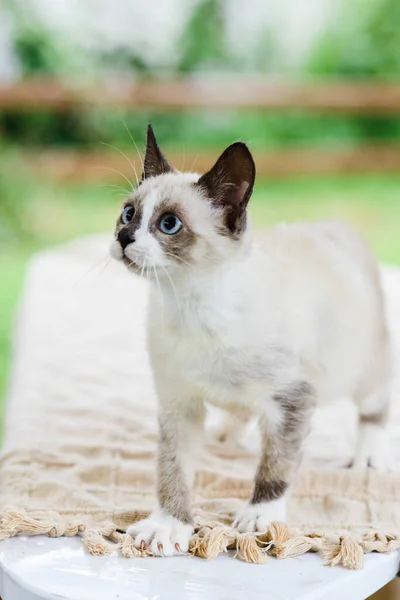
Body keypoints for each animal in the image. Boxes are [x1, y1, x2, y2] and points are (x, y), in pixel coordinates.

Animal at [111, 125, 392, 556]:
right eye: (129, 214)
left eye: (169, 224)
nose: (124, 236)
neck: (191, 306)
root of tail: (335, 223)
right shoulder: (179, 405)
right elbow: (171, 471)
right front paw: (169, 526)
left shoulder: (292, 400)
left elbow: (275, 467)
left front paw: (260, 517)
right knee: (239, 411)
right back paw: (226, 435)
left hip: (363, 369)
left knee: (375, 406)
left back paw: (369, 456)